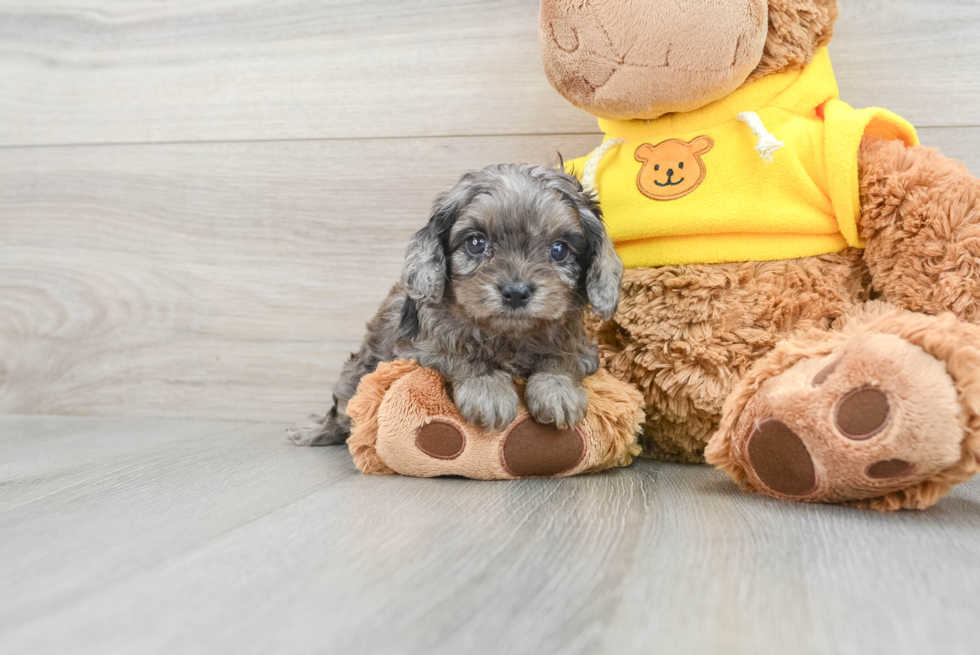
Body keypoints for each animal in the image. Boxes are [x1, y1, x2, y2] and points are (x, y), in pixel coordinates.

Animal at [290, 165, 620, 446]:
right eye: (476, 243)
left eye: (559, 250)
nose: (516, 292)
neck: (507, 336)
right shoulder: (419, 349)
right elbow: (461, 355)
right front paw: (488, 389)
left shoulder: (580, 346)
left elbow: (563, 358)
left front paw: (557, 389)